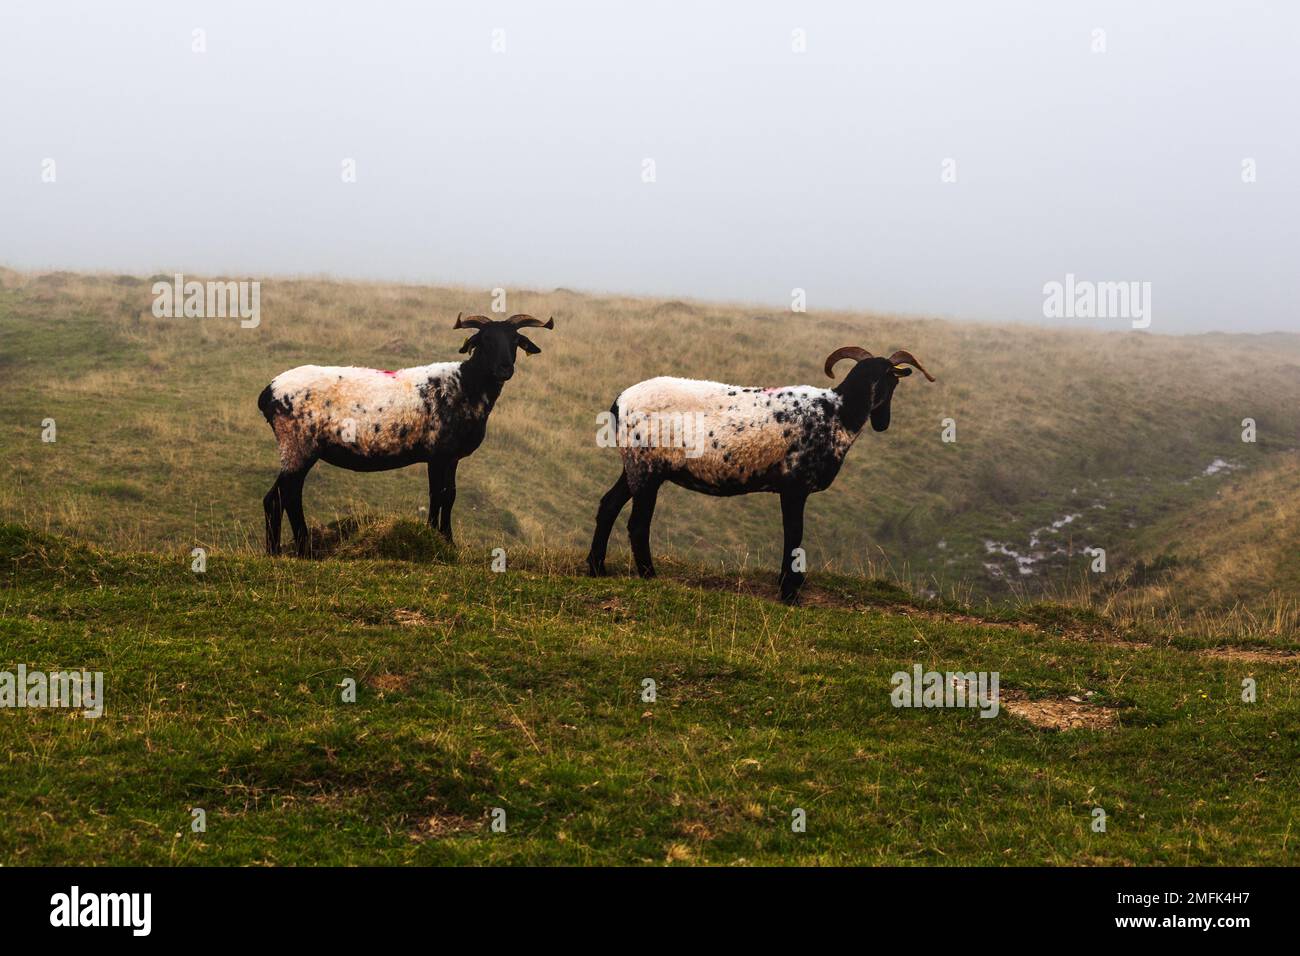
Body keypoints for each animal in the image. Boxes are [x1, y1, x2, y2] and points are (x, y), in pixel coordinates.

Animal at [258, 313, 553, 555]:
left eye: (515, 340)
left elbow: (450, 495)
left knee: (278, 497)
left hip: (296, 447)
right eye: (485, 340)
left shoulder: (452, 456)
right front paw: (436, 537)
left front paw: (448, 541)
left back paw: (276, 551)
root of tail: (268, 393)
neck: (466, 385)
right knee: (286, 496)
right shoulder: (438, 452)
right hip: (298, 443)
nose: (505, 369)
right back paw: (302, 550)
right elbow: (438, 494)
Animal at [586, 346, 934, 602]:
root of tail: (620, 401)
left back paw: (596, 568)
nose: (882, 422)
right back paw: (649, 575)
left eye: (891, 382)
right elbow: (794, 533)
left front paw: (789, 585)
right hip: (646, 464)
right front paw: (790, 592)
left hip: (633, 464)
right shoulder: (795, 485)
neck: (838, 413)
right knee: (637, 523)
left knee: (608, 505)